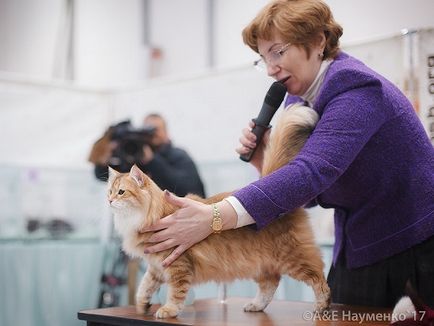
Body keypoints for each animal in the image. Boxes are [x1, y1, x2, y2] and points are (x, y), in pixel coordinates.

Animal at [109, 105, 332, 318]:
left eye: (121, 192)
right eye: (110, 191)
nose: (109, 201)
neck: (146, 216)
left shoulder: (178, 265)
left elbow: (176, 293)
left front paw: (169, 310)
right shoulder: (155, 266)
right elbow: (144, 287)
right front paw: (141, 306)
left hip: (293, 258)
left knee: (318, 277)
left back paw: (322, 307)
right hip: (262, 263)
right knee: (270, 284)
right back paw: (256, 306)